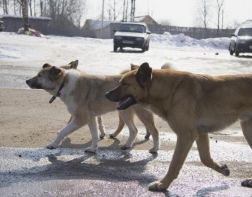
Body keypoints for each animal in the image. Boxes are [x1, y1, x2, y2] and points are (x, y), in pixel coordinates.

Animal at [106, 62, 252, 191]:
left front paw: (162, 185)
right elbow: (205, 159)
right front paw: (221, 168)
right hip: (247, 129)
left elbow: (174, 164)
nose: (106, 94)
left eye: (124, 84)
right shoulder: (201, 133)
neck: (170, 90)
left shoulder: (186, 136)